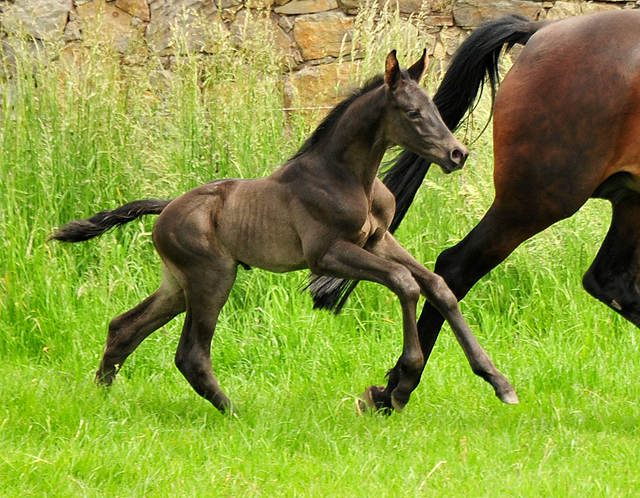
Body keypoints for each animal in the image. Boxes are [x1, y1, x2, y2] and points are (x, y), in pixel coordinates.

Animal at [51, 52, 520, 414]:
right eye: (412, 112)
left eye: (437, 109)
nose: (457, 154)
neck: (350, 176)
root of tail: (167, 208)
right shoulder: (326, 254)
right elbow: (405, 283)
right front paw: (402, 384)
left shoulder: (377, 239)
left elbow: (437, 285)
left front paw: (498, 381)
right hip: (211, 277)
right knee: (190, 354)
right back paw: (233, 412)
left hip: (177, 284)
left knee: (123, 327)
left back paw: (101, 397)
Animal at [308, 11, 636, 412]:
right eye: (414, 112)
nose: (456, 154)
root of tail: (541, 30)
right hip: (539, 196)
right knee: (455, 267)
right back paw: (398, 389)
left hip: (624, 199)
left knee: (609, 281)